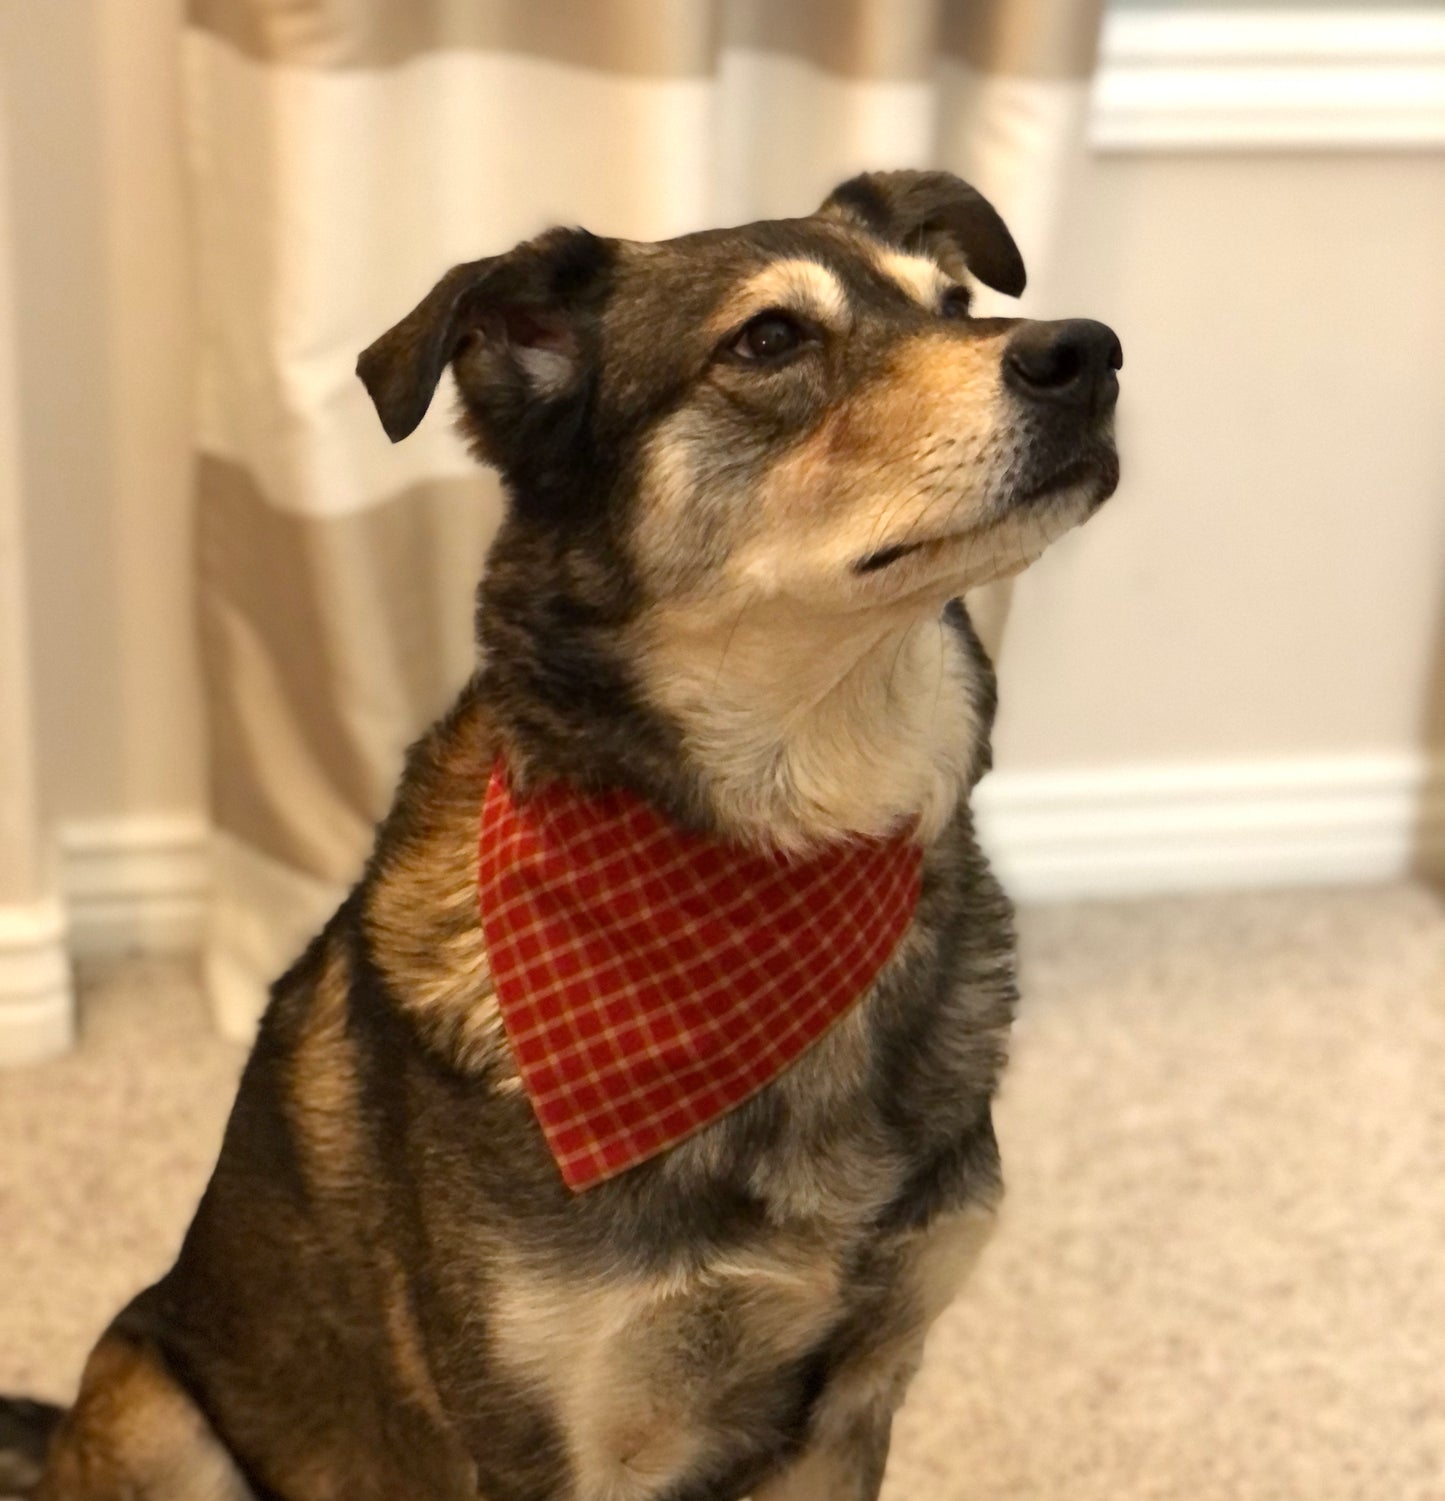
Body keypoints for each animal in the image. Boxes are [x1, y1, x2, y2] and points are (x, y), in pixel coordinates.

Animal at [2, 172, 1116, 1501]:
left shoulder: (856, 1404)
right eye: (768, 340)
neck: (778, 851)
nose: (1086, 353)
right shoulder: (552, 1442)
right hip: (151, 1406)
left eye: (949, 302)